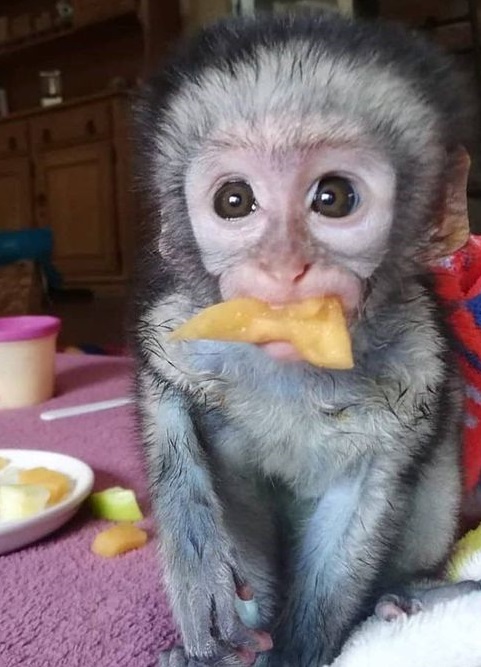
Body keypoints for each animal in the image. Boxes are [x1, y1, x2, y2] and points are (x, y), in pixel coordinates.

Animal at [131, 10, 480, 667]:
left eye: (333, 197)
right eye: (235, 200)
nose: (282, 268)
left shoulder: (418, 358)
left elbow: (360, 505)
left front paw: (293, 652)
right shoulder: (191, 321)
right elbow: (165, 389)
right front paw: (195, 556)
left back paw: (413, 591)